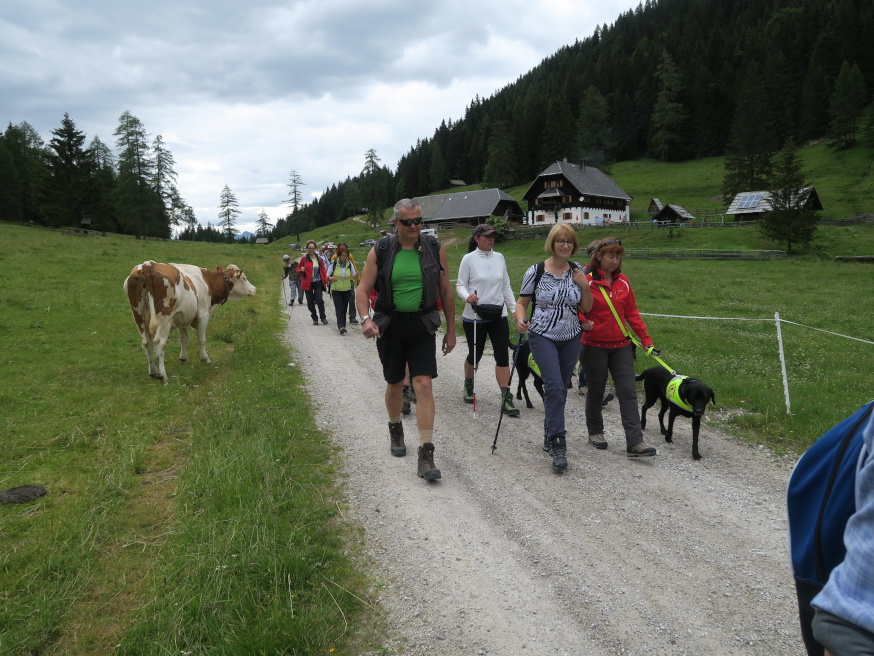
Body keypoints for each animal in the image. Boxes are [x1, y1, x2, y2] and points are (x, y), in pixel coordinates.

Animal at [125, 260, 255, 382]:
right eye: (244, 278)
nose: (254, 289)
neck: (206, 281)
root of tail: (148, 265)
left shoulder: (180, 317)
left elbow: (183, 339)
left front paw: (183, 358)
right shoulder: (203, 315)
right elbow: (202, 339)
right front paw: (205, 359)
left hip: (139, 317)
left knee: (146, 343)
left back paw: (153, 372)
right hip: (164, 319)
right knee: (160, 343)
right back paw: (162, 375)